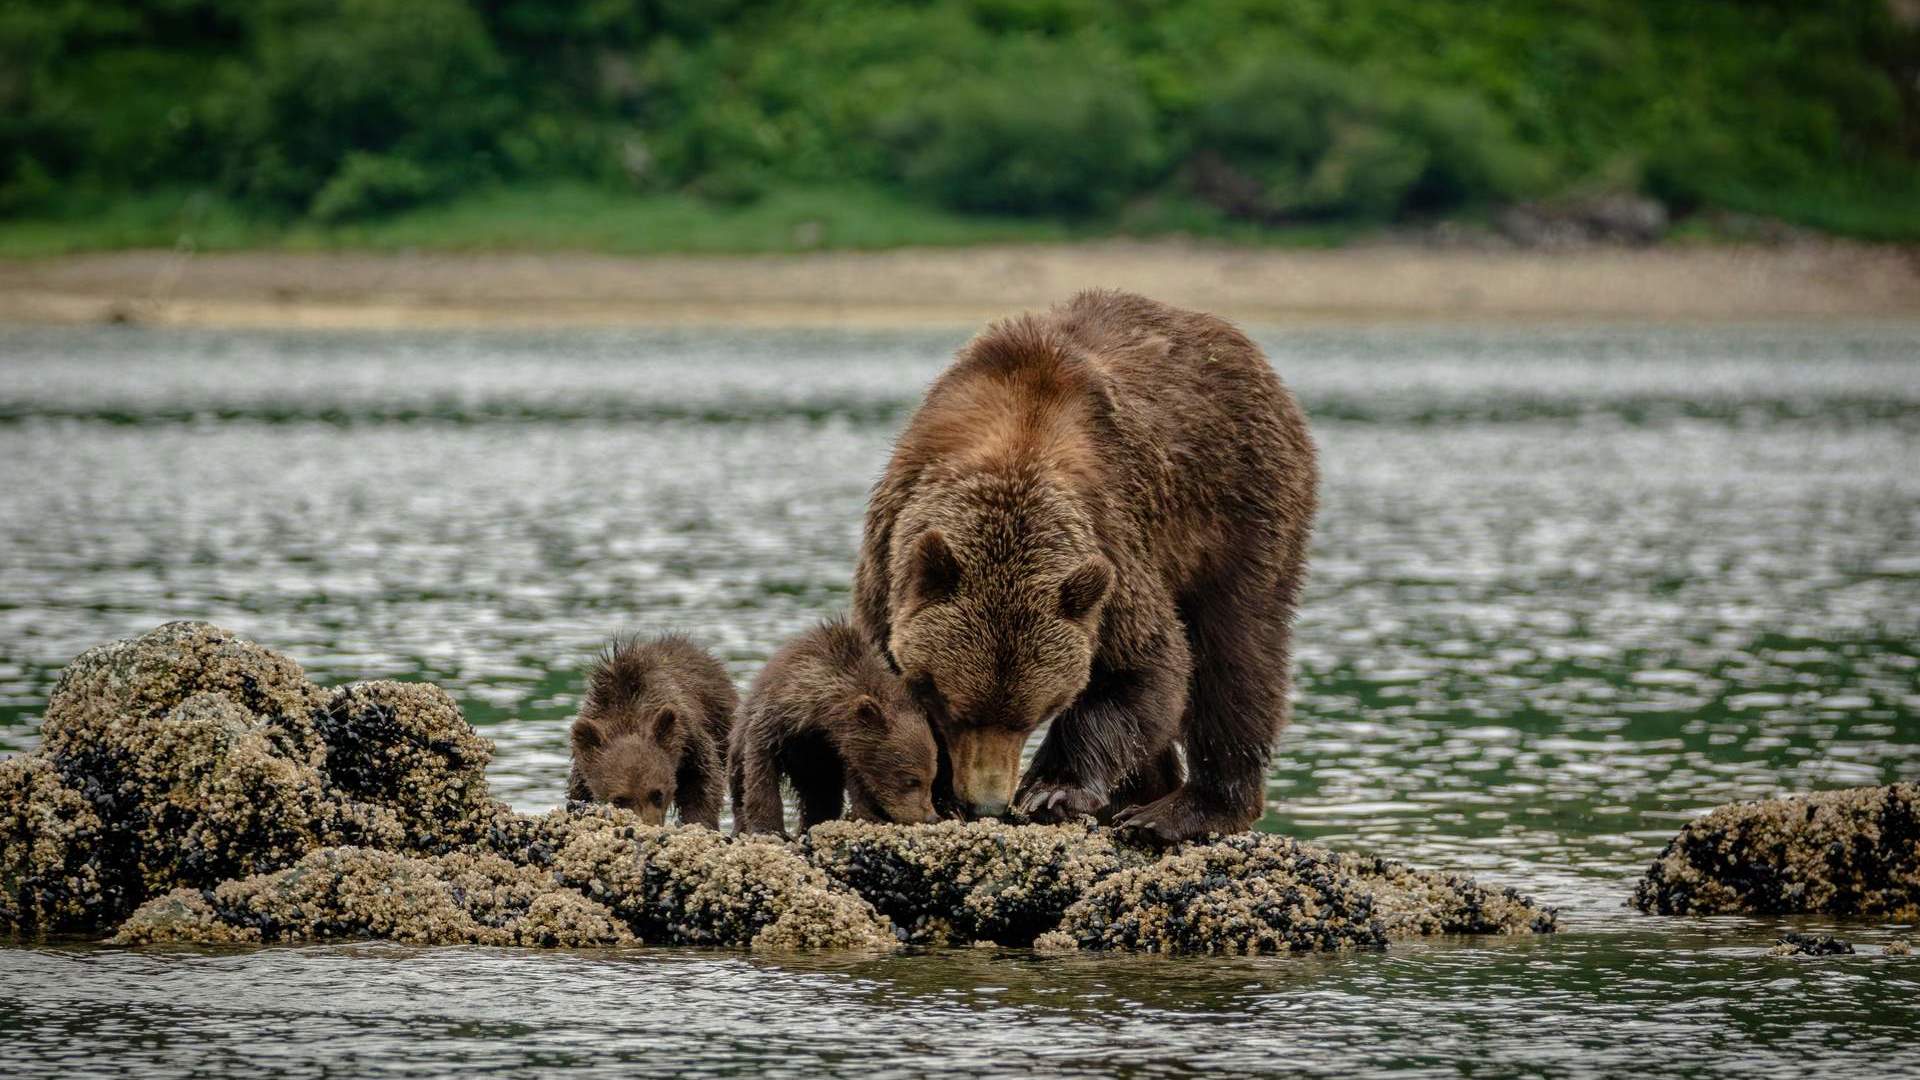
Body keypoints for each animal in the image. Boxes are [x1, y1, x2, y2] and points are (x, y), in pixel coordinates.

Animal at [568, 634, 738, 827]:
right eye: (618, 800)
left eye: (658, 794)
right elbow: (579, 793)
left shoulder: (688, 736)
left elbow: (702, 781)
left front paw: (699, 821)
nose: (649, 825)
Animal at [729, 616, 941, 836]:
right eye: (911, 780)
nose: (931, 817)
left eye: (932, 778)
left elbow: (855, 780)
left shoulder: (840, 748)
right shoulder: (778, 719)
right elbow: (760, 769)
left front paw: (870, 815)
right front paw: (768, 828)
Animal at [852, 289, 1317, 843]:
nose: (987, 802)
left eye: (1033, 714)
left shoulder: (1112, 549)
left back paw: (1179, 809)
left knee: (1237, 654)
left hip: (1243, 506)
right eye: (952, 704)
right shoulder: (889, 552)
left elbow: (1142, 667)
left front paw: (1052, 789)